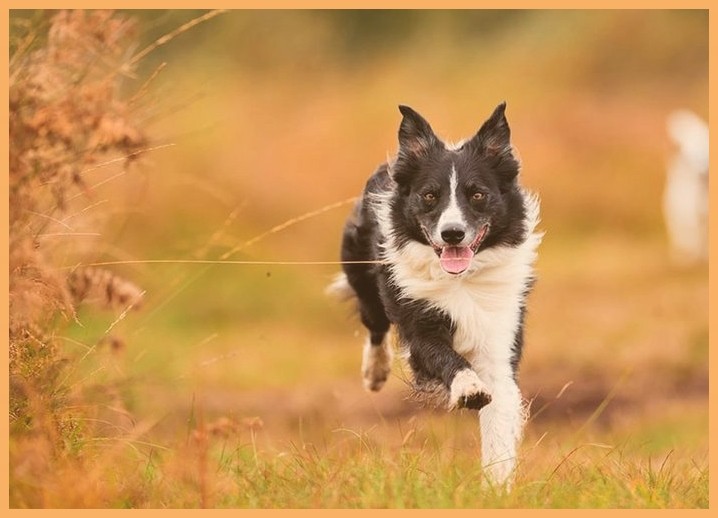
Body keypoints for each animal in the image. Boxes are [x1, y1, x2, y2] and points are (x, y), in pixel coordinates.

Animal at [334, 102, 544, 488]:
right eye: (430, 195)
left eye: (477, 194)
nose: (452, 233)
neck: (462, 279)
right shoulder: (419, 328)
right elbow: (446, 357)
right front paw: (468, 388)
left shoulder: (499, 339)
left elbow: (499, 423)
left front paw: (496, 488)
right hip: (362, 274)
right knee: (374, 324)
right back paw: (375, 372)